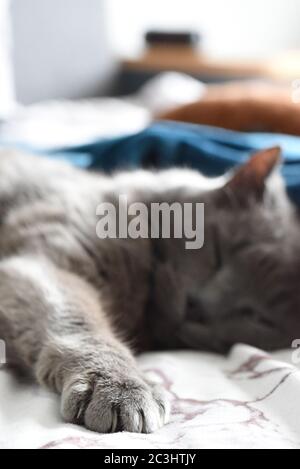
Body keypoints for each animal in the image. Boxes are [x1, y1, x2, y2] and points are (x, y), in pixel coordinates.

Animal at [0, 145, 300, 432]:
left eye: (256, 317)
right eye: (219, 252)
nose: (198, 307)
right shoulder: (46, 262)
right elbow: (78, 323)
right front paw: (121, 389)